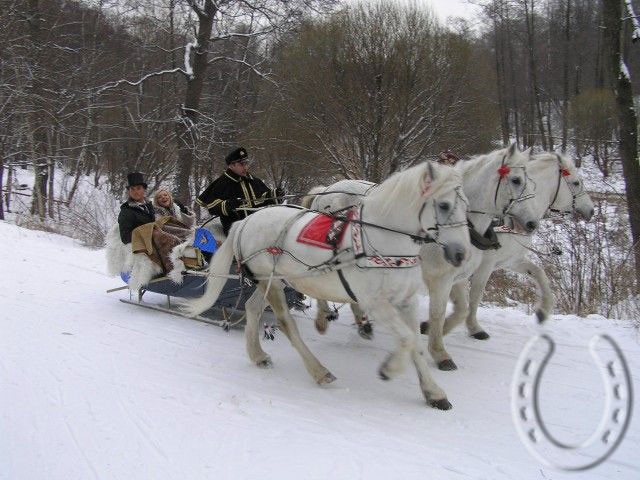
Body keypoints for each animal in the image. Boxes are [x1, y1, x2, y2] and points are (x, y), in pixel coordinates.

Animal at [185, 161, 470, 408]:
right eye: (444, 205)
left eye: (466, 205)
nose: (460, 254)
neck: (381, 237)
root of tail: (245, 221)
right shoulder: (376, 304)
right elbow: (406, 338)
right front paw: (390, 369)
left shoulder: (406, 301)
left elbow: (415, 344)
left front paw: (433, 392)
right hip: (273, 282)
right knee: (286, 323)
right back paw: (318, 370)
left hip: (269, 281)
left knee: (252, 308)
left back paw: (258, 355)